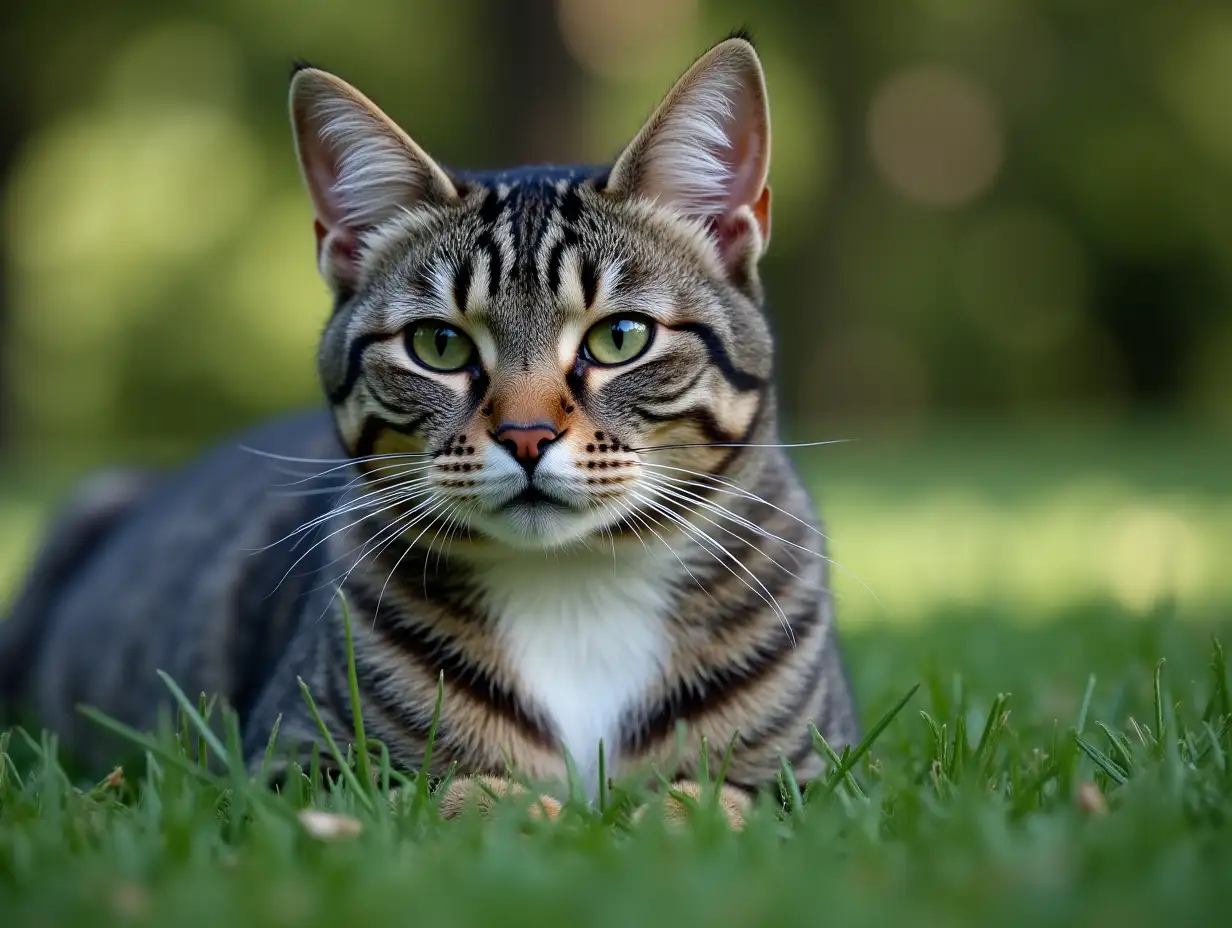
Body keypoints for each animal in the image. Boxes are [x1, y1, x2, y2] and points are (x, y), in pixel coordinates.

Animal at [0, 32, 857, 823]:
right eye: (439, 345)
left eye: (621, 338)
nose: (525, 436)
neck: (575, 586)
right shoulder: (287, 768)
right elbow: (447, 796)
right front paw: (540, 813)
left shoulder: (825, 775)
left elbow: (725, 801)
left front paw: (659, 815)